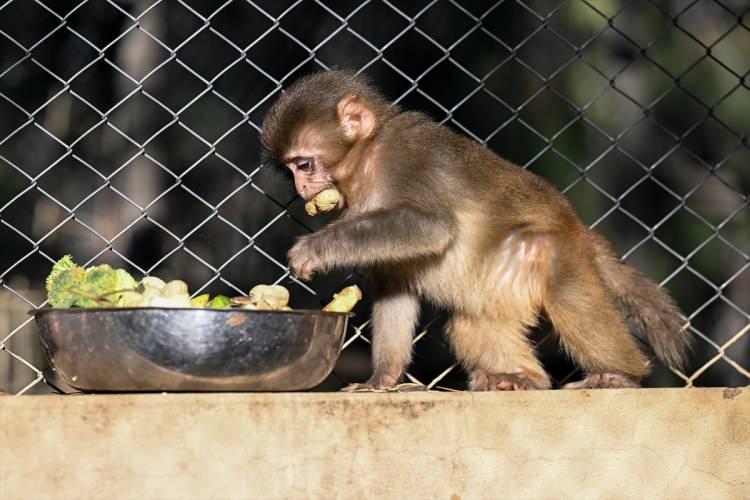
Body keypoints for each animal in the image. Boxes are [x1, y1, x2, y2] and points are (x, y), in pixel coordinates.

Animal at [262, 70, 692, 390]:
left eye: (304, 165)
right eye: (290, 171)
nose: (302, 189)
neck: (368, 158)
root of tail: (581, 231)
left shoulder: (412, 159)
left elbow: (432, 228)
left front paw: (317, 248)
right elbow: (396, 285)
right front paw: (381, 379)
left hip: (563, 251)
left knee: (551, 264)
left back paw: (621, 375)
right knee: (468, 321)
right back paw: (522, 377)